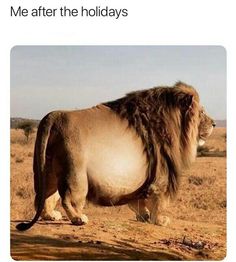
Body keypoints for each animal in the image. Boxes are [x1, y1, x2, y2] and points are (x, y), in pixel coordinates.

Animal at [15, 82, 215, 231]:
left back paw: (51, 215)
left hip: (47, 169)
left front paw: (144, 216)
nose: (214, 123)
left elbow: (138, 201)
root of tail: (53, 116)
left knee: (44, 196)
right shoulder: (161, 175)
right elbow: (158, 201)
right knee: (68, 198)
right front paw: (160, 220)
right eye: (202, 112)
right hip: (76, 172)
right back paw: (79, 219)